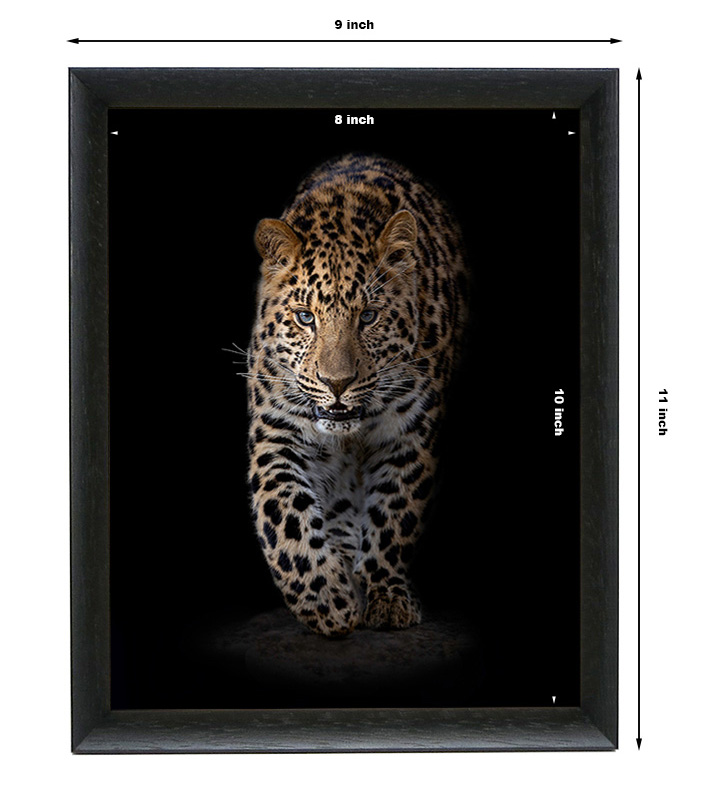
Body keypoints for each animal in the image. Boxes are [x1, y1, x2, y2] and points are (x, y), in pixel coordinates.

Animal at [243, 153, 468, 637]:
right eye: (305, 317)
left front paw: (385, 596)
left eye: (368, 316)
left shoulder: (410, 436)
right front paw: (326, 600)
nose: (337, 383)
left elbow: (394, 514)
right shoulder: (278, 432)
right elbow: (283, 513)